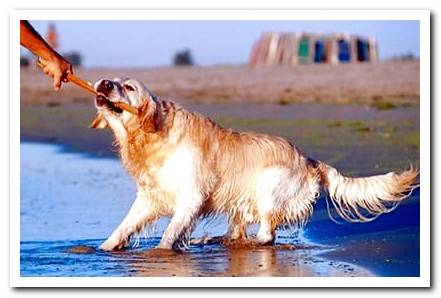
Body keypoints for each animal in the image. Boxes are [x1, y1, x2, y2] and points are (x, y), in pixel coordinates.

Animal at [92, 78, 416, 250]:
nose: (104, 83)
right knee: (240, 229)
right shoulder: (150, 197)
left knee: (267, 233)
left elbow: (171, 231)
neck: (151, 138)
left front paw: (162, 252)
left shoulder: (191, 196)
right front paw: (104, 249)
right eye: (114, 81)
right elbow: (124, 226)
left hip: (271, 184)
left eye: (129, 88)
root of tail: (309, 159)